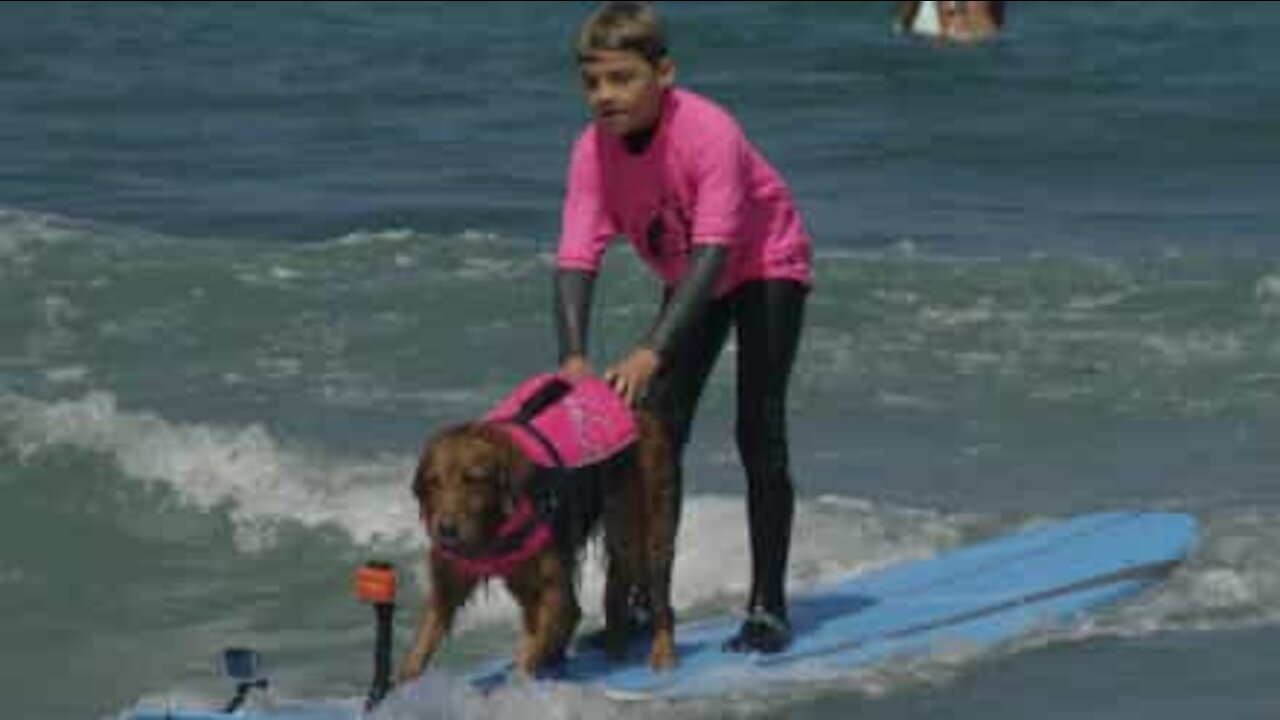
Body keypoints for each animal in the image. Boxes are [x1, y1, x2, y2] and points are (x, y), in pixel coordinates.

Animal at [396, 371, 680, 681]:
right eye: (433, 482)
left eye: (473, 479)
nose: (445, 530)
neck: (493, 529)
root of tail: (628, 402)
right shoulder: (452, 579)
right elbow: (424, 639)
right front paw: (400, 684)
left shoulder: (552, 588)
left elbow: (540, 641)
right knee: (617, 585)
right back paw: (610, 649)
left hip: (650, 519)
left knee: (657, 589)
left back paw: (662, 653)